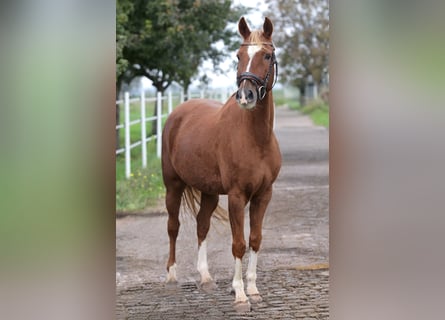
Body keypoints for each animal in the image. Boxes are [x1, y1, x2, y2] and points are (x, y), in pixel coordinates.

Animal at [160, 16, 280, 306]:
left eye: (267, 55)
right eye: (238, 55)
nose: (246, 96)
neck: (255, 139)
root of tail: (178, 113)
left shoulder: (263, 194)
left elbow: (255, 239)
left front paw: (253, 289)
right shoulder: (236, 196)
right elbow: (238, 243)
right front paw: (240, 294)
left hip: (209, 191)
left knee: (202, 225)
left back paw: (205, 278)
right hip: (173, 185)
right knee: (173, 227)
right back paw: (172, 276)